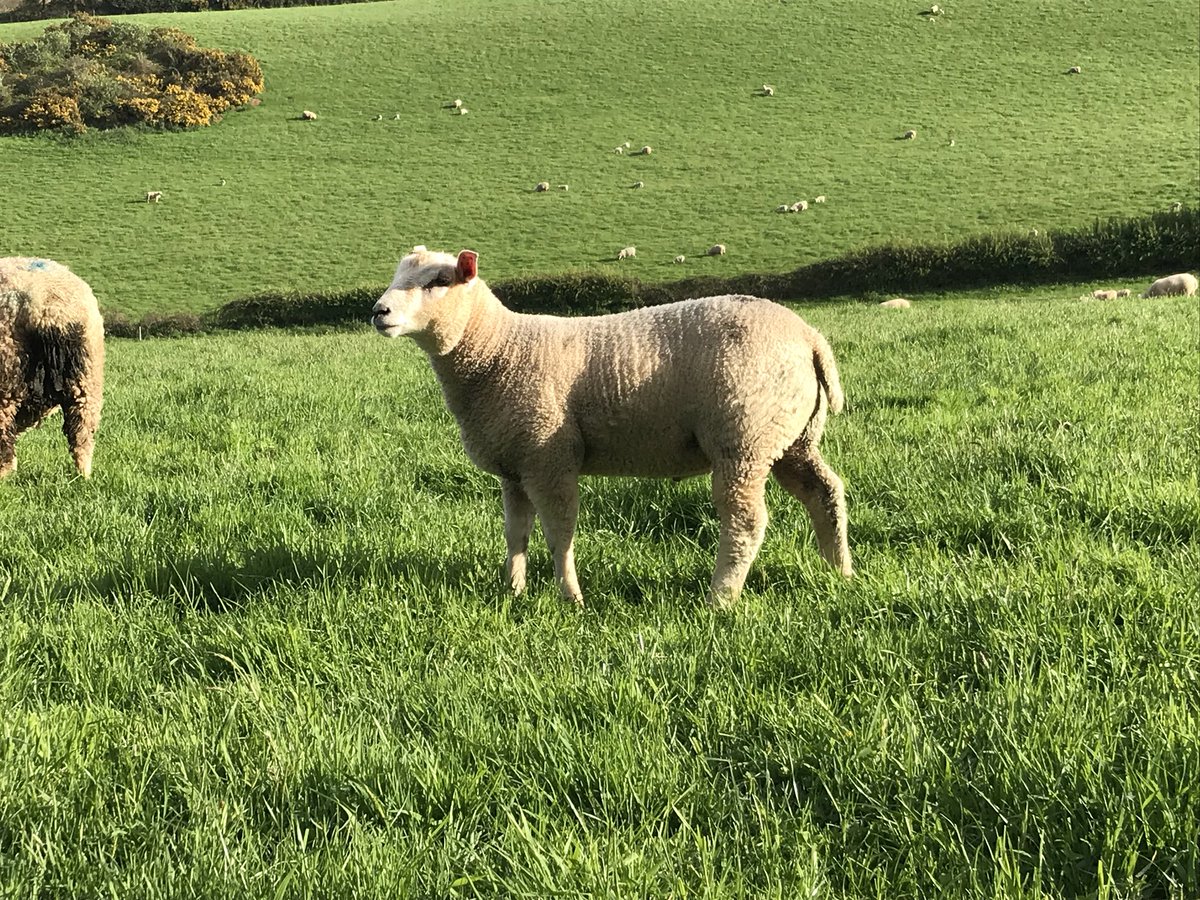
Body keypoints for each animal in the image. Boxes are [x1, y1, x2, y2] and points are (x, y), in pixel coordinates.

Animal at [0, 257, 104, 479]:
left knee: (4, 437)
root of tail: (50, 305)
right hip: (87, 378)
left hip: (7, 375)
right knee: (82, 433)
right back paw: (84, 475)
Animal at [370, 247, 852, 607]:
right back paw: (840, 571)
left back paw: (719, 599)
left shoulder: (549, 459)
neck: (497, 349)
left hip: (744, 436)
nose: (378, 311)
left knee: (745, 521)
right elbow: (516, 533)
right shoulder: (515, 466)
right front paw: (513, 591)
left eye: (438, 281)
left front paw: (571, 599)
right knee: (825, 492)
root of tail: (809, 336)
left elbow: (559, 533)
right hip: (789, 436)